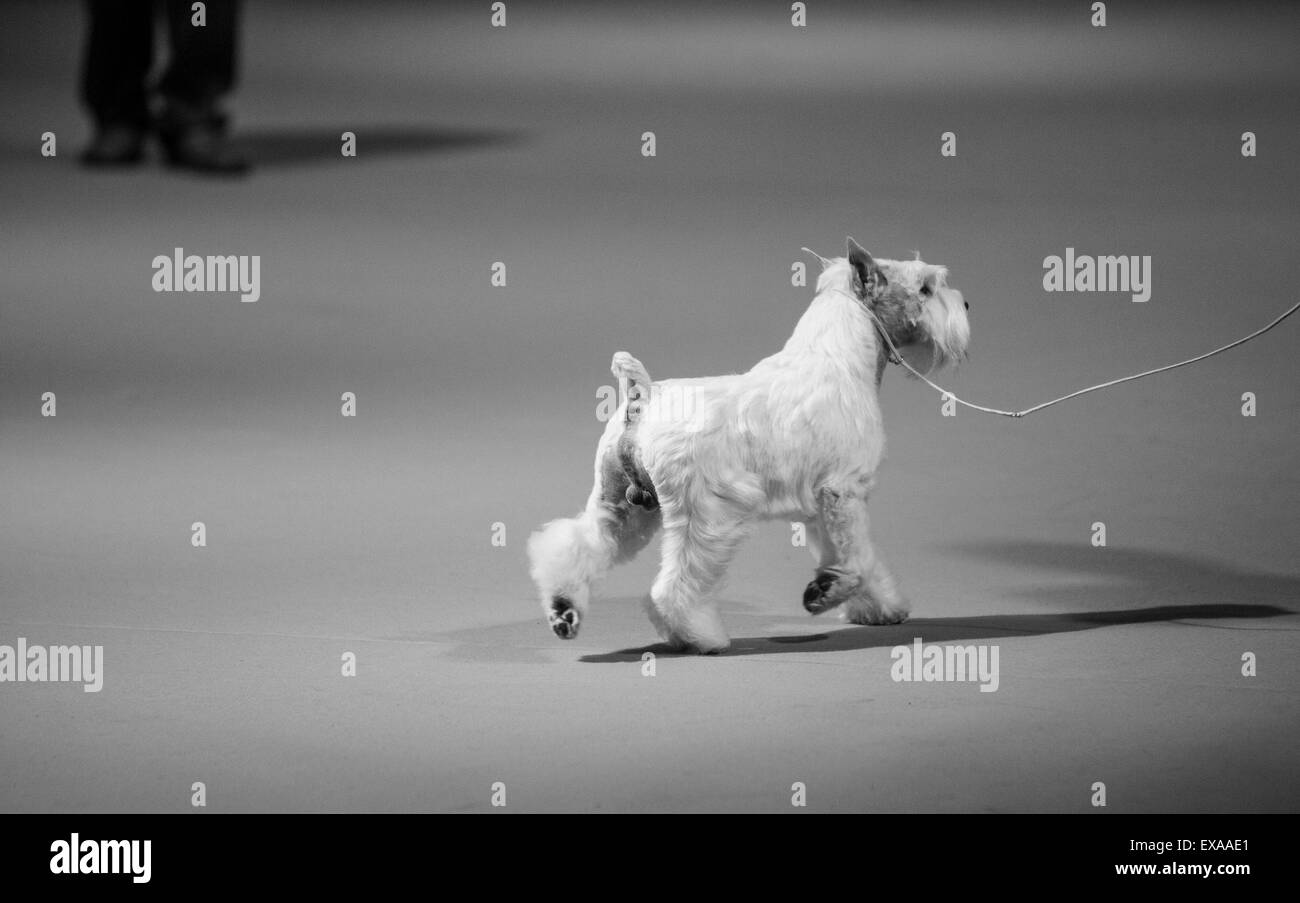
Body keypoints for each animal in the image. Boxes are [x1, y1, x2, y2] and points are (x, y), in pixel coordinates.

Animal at [525, 236, 967, 652]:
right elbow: (857, 561)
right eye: (926, 288)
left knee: (576, 545)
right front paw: (827, 592)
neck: (839, 358)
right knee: (673, 589)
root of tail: (643, 396)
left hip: (622, 508)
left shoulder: (822, 507)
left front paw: (876, 607)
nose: (965, 302)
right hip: (708, 520)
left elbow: (855, 557)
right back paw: (699, 637)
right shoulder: (844, 492)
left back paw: (564, 609)